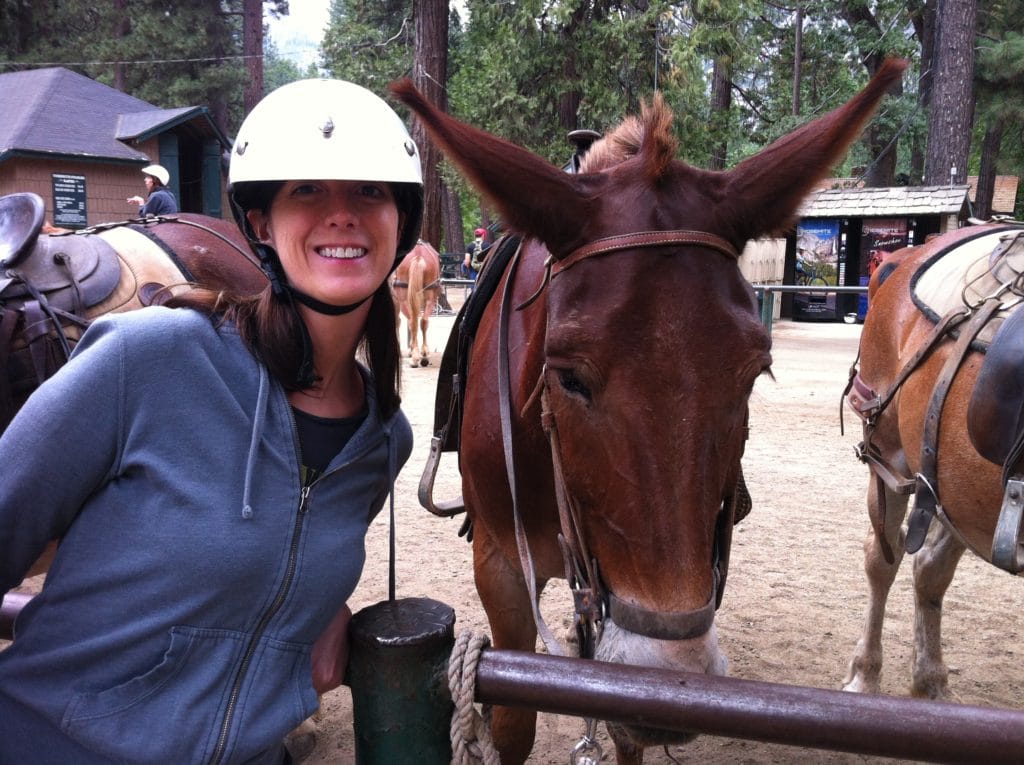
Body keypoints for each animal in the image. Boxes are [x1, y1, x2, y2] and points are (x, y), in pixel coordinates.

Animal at [391, 240, 440, 368]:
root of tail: (418, 257)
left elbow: (398, 321)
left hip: (403, 298)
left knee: (412, 321)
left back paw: (415, 356)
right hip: (430, 297)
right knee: (423, 321)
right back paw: (424, 355)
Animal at [839, 220, 1024, 700]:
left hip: (953, 488)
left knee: (929, 569)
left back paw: (931, 685)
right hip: (889, 458)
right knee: (884, 560)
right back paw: (865, 675)